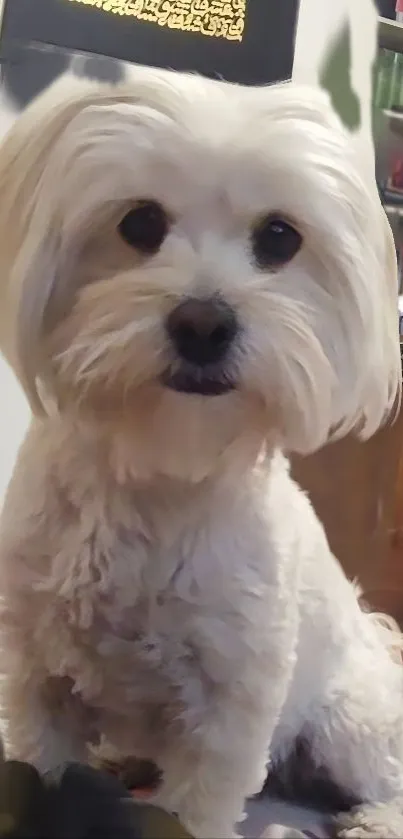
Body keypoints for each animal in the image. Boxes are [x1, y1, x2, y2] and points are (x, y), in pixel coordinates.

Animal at [0, 67, 402, 839]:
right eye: (138, 224)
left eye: (279, 236)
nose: (203, 322)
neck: (161, 465)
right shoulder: (39, 679)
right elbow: (37, 767)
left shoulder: (227, 717)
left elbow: (195, 804)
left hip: (347, 725)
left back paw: (376, 819)